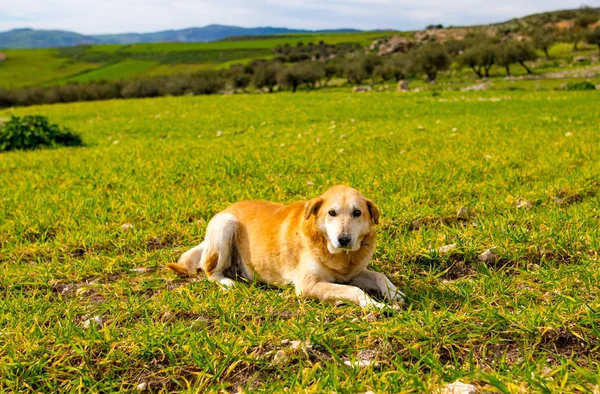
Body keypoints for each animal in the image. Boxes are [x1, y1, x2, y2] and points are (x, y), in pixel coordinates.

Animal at [166, 185, 406, 308]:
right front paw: (377, 305)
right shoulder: (308, 285)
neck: (340, 256)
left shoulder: (353, 273)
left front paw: (394, 294)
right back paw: (228, 283)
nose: (344, 239)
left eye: (357, 213)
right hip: (225, 225)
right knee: (210, 271)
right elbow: (354, 291)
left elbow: (379, 276)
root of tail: (227, 208)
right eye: (332, 213)